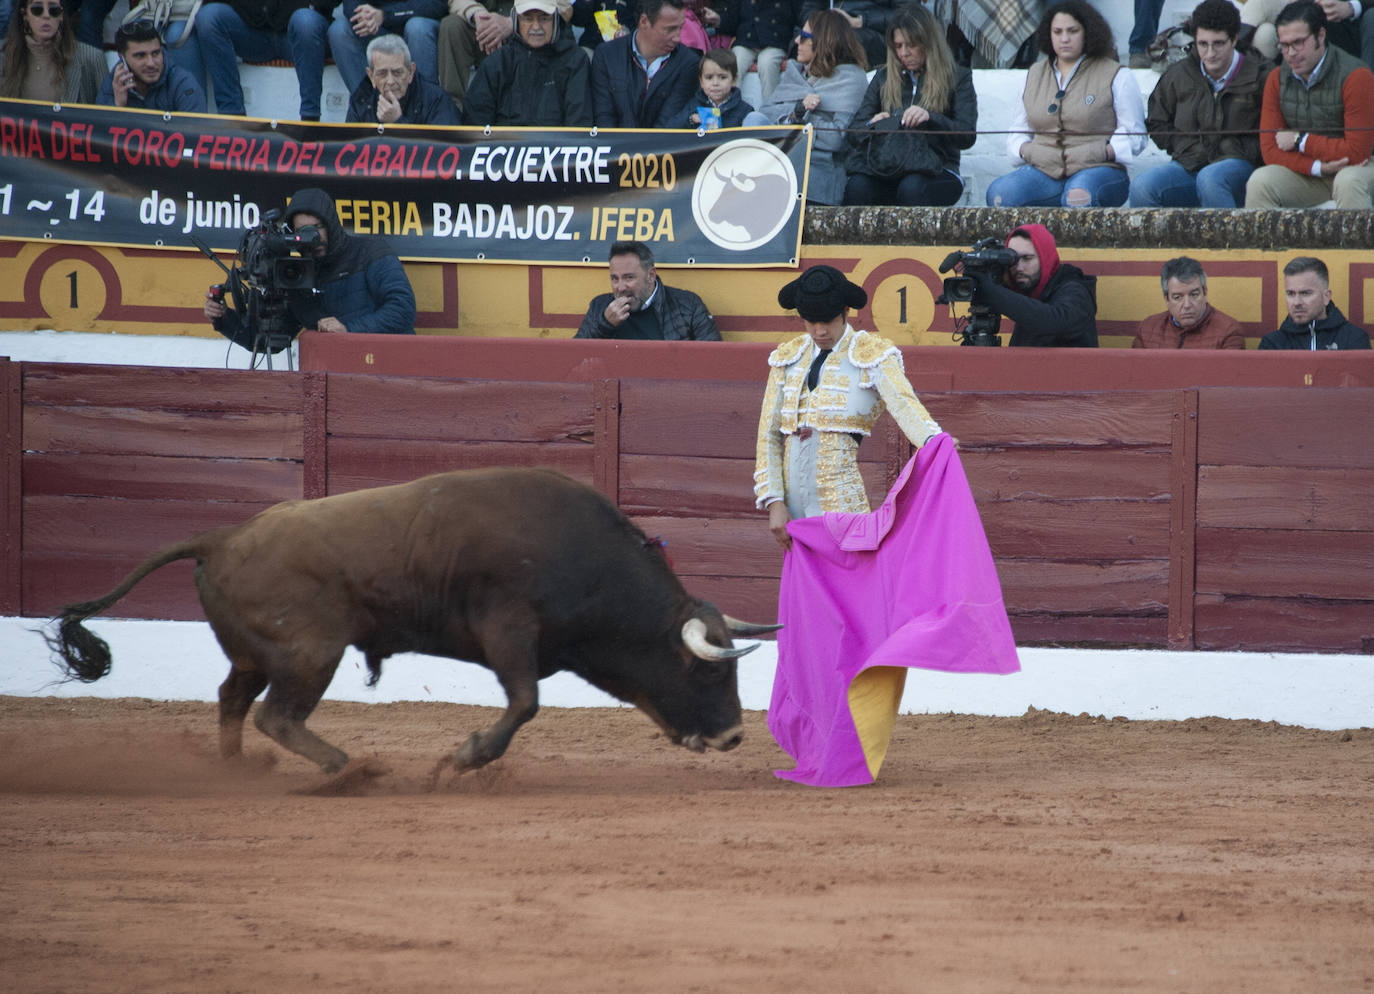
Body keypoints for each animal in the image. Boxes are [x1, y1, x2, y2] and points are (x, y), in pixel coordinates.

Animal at [45, 470, 774, 775]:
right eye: (709, 675)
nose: (737, 736)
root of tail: (220, 537)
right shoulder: (509, 631)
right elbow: (526, 703)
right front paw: (464, 759)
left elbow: (525, 702)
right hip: (312, 651)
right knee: (276, 715)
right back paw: (347, 770)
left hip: (258, 654)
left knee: (232, 699)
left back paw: (236, 770)